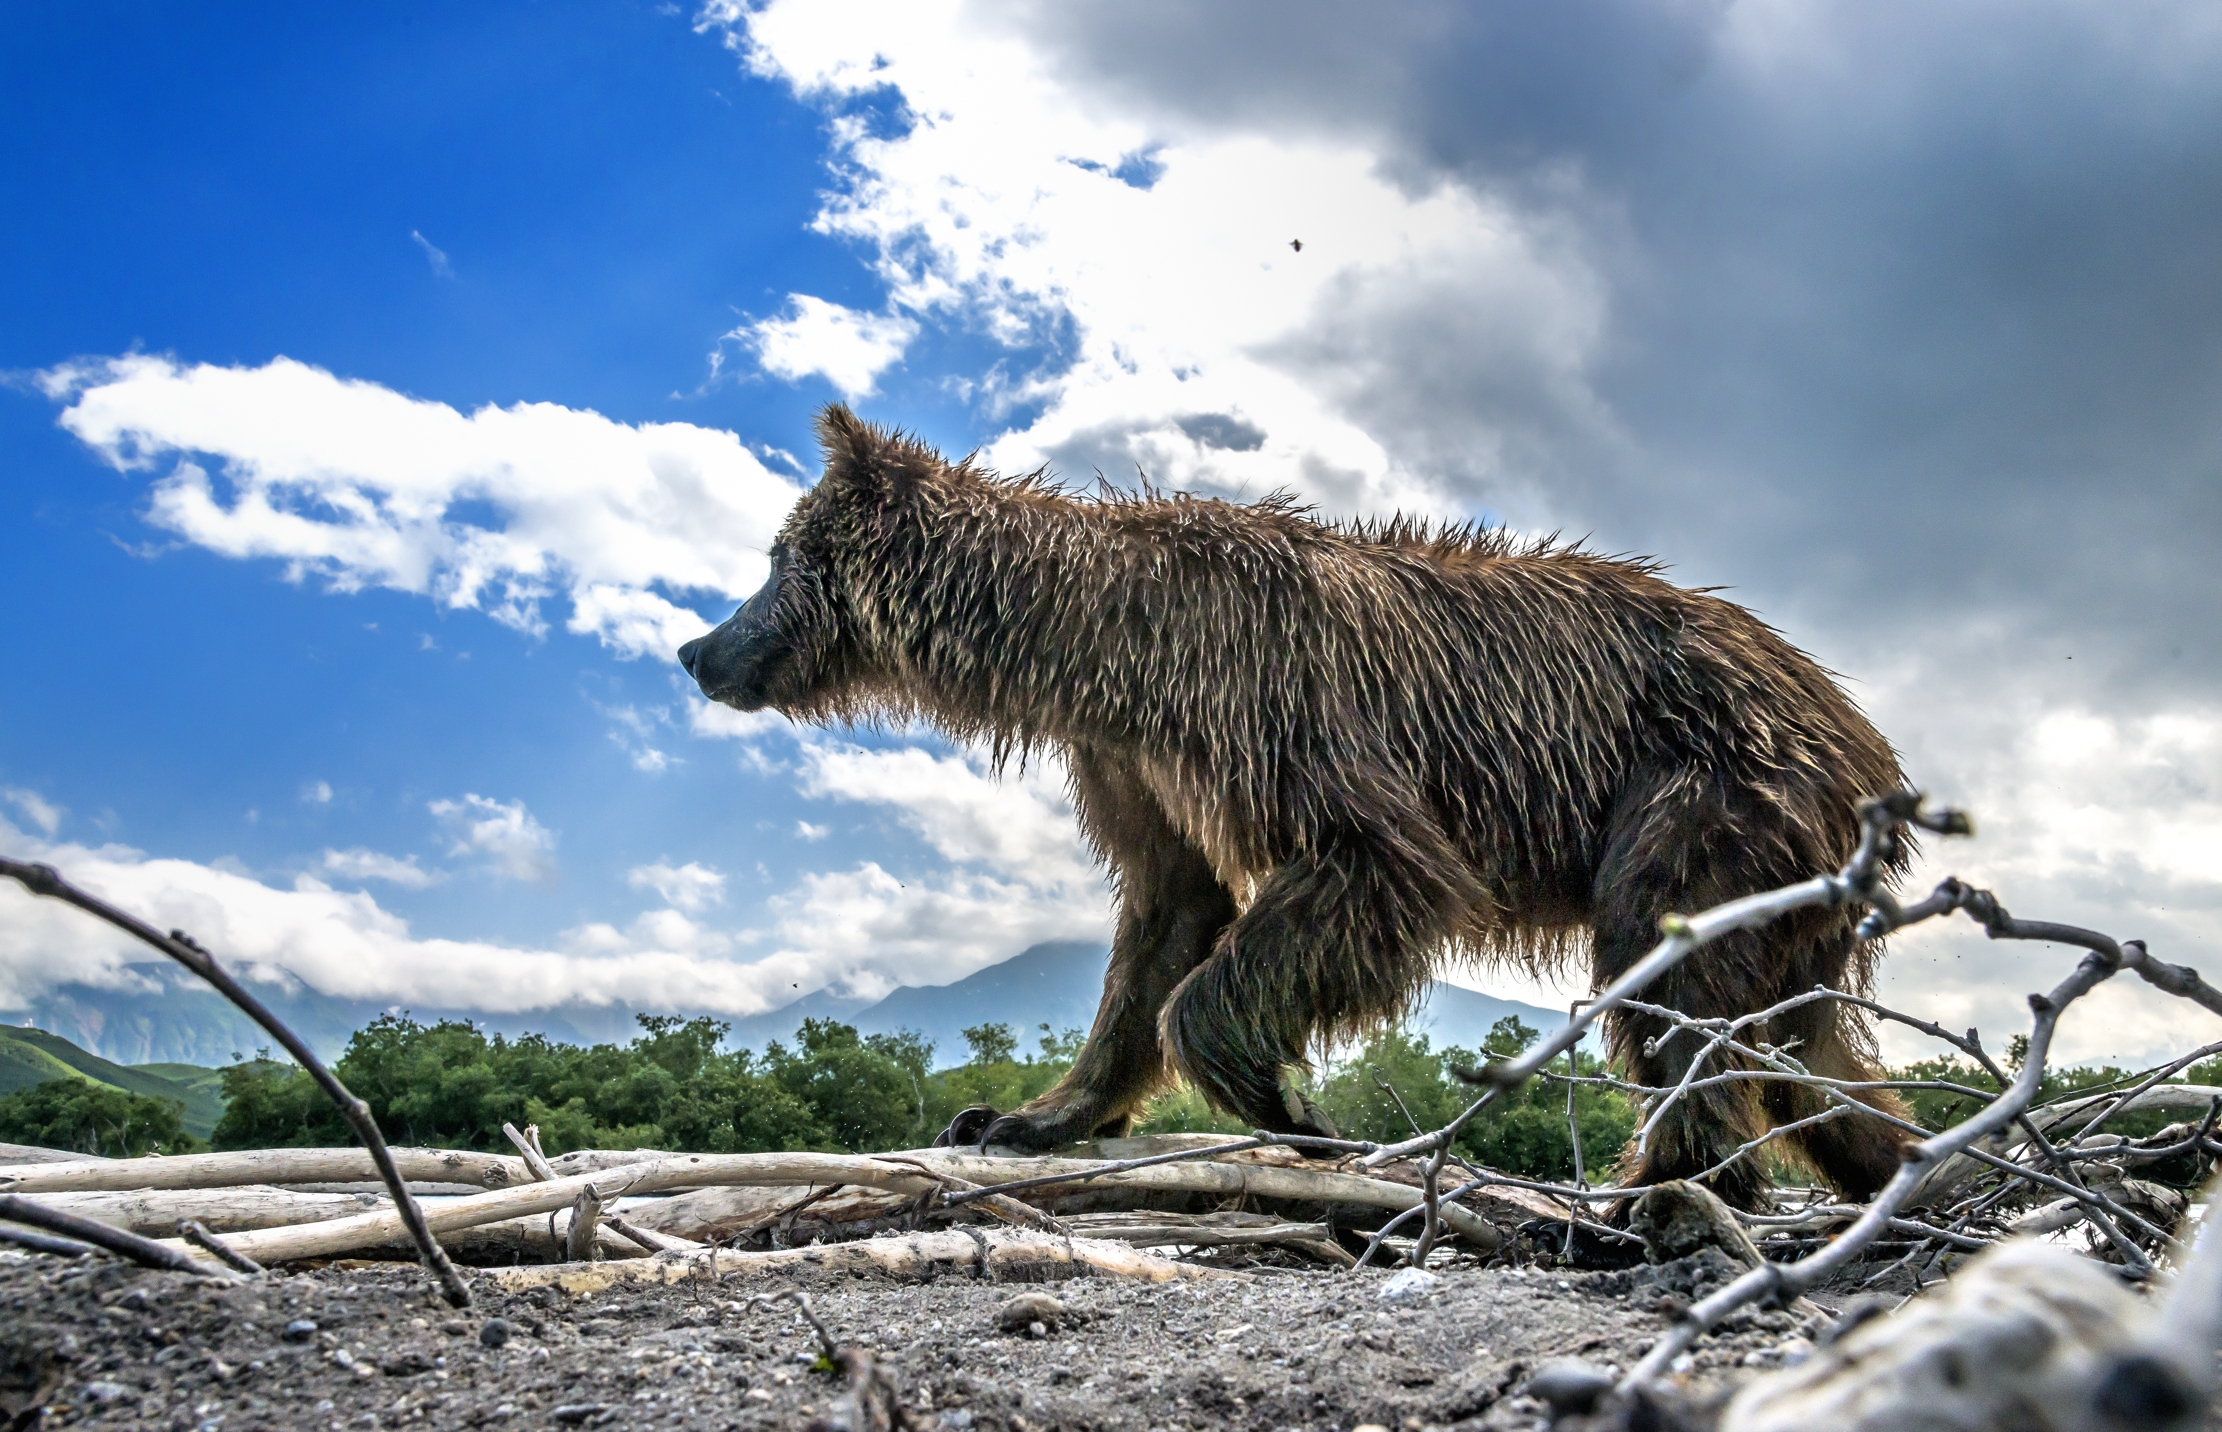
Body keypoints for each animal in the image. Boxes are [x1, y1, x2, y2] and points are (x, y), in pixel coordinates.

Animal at [679, 405, 1912, 1208]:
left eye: (777, 556)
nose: (699, 650)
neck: (1101, 656)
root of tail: (1855, 724)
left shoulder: (1269, 705)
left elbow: (1371, 866)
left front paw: (1295, 1108)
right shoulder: (1134, 767)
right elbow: (1159, 927)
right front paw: (1024, 1114)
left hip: (1707, 787)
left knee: (1663, 964)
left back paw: (1671, 1185)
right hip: (1788, 869)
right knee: (1801, 1040)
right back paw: (1895, 1163)